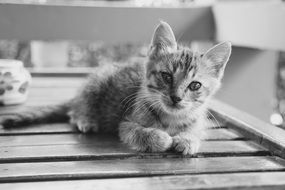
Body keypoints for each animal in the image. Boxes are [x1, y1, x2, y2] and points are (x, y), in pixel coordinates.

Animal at [0, 21, 231, 154]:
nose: (176, 98)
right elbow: (140, 132)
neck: (171, 118)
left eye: (195, 85)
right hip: (95, 85)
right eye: (166, 76)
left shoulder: (199, 122)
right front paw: (160, 138)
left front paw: (187, 140)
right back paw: (86, 119)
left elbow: (195, 131)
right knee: (75, 111)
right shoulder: (126, 124)